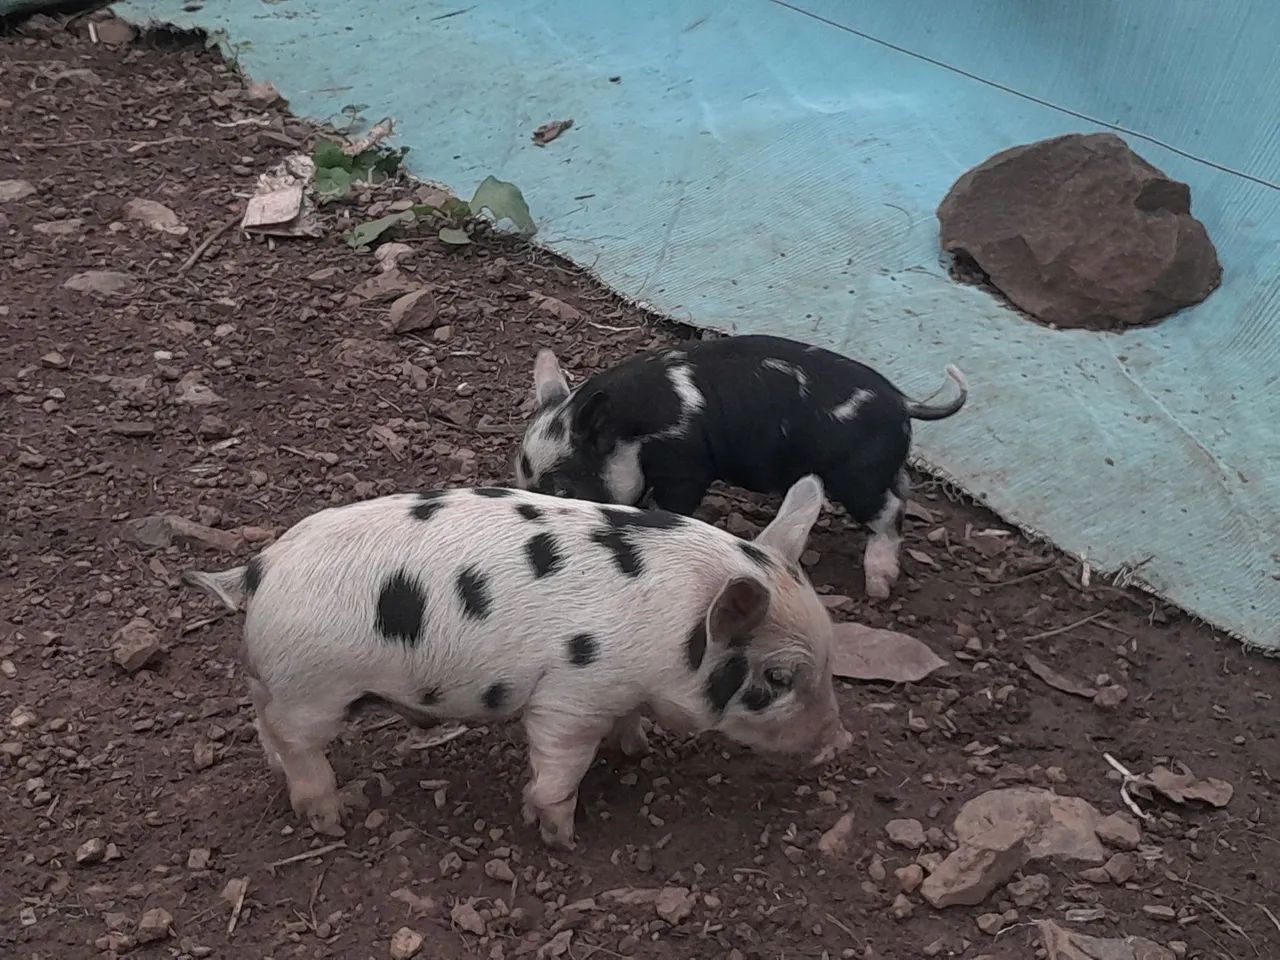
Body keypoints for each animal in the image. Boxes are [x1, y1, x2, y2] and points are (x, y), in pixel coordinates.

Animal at [182, 475, 851, 849]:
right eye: (777, 678)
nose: (836, 745)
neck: (677, 629)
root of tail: (259, 570)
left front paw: (637, 751)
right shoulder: (573, 695)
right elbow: (561, 763)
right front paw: (560, 837)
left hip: (279, 679)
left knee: (263, 719)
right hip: (317, 690)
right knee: (294, 741)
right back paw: (333, 818)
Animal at [514, 334, 968, 599]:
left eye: (565, 489)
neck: (634, 430)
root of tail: (903, 402)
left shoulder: (686, 462)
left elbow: (672, 503)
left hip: (857, 477)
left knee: (890, 511)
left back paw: (878, 588)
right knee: (902, 489)